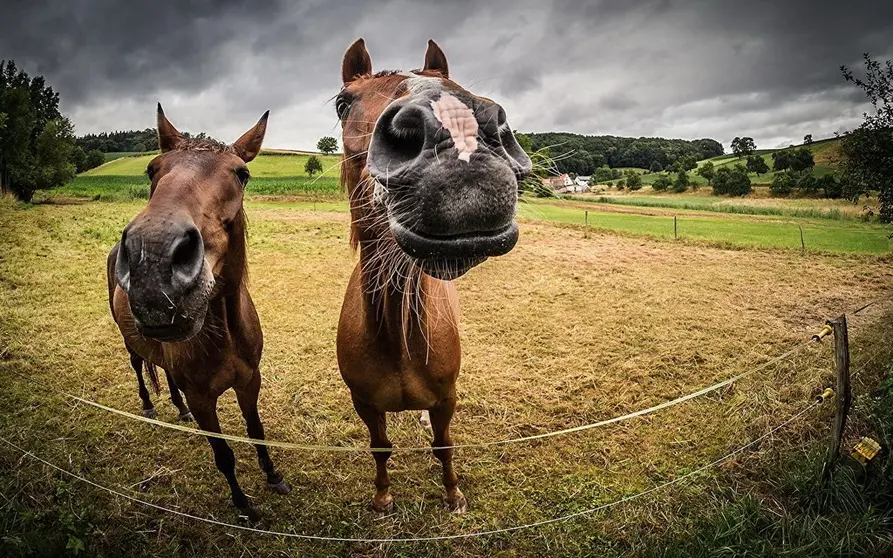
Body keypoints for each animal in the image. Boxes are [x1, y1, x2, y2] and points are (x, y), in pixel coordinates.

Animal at [106, 105, 290, 521]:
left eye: (242, 173)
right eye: (152, 169)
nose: (152, 258)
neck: (224, 334)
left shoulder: (249, 381)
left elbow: (256, 431)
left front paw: (274, 477)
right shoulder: (203, 399)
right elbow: (223, 455)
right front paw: (244, 504)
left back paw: (177, 409)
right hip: (129, 341)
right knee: (138, 365)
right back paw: (149, 405)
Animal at [335, 39, 531, 513]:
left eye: (453, 84)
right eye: (342, 103)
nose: (456, 131)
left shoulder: (446, 399)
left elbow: (444, 445)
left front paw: (454, 494)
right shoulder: (364, 404)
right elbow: (380, 447)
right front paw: (383, 498)